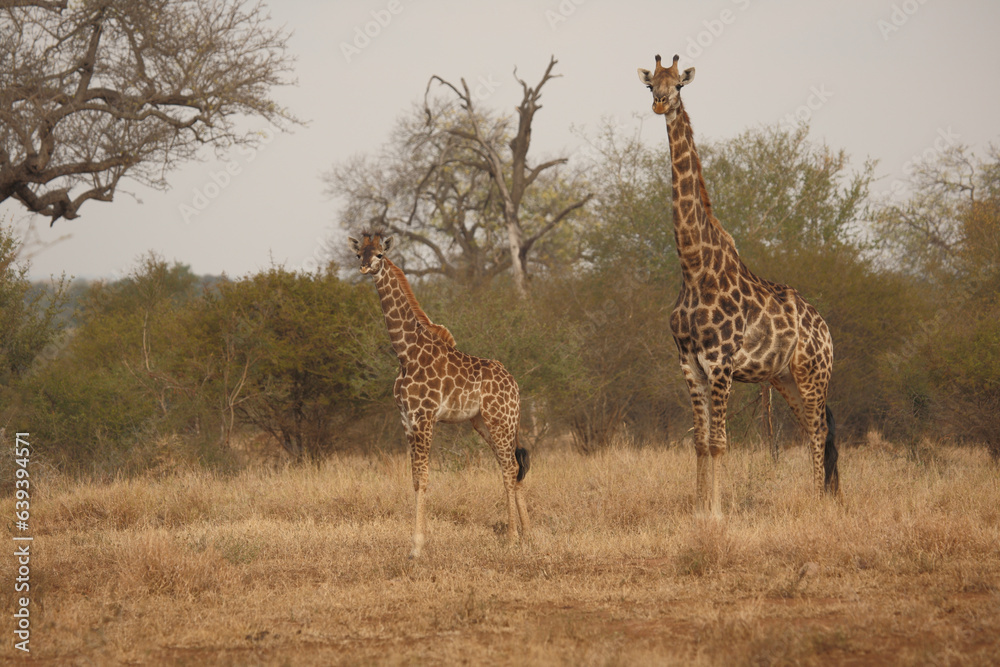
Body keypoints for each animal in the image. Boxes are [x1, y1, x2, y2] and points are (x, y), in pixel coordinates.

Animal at [349, 230, 530, 557]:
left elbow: (423, 478)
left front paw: (417, 547)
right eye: (359, 254)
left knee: (510, 466)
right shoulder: (406, 420)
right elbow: (414, 479)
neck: (405, 354)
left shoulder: (424, 418)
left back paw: (512, 538)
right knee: (509, 465)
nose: (365, 267)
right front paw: (417, 542)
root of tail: (514, 384)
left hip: (501, 420)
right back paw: (528, 536)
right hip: (485, 423)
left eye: (380, 254)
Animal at [637, 54, 839, 516]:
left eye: (678, 85)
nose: (660, 104)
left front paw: (716, 512)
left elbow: (719, 443)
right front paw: (697, 509)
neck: (694, 267)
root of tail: (825, 328)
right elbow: (698, 442)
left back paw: (818, 501)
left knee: (820, 429)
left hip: (813, 372)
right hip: (785, 378)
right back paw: (817, 495)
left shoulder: (721, 362)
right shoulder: (688, 362)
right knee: (811, 429)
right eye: (650, 84)